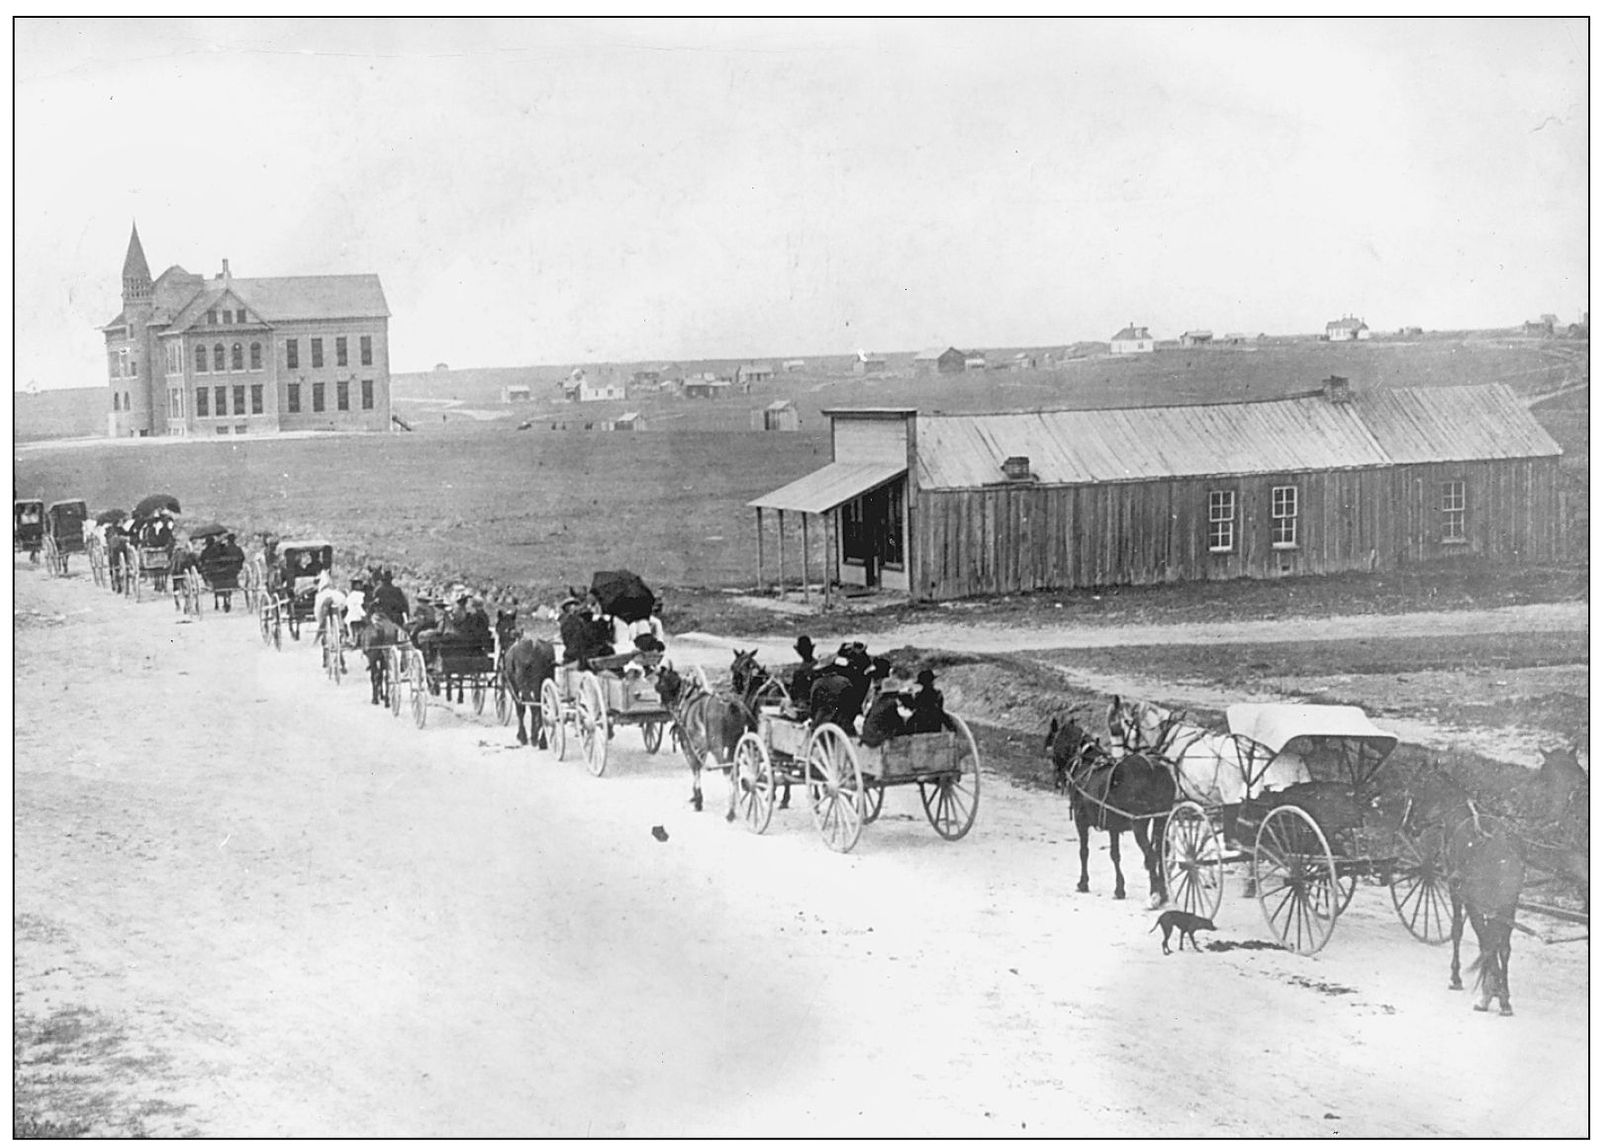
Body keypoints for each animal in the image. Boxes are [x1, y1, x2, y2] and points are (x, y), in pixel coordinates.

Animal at [496, 609, 554, 754]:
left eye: (497, 626)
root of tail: (535, 646)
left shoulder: (514, 686)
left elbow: (520, 708)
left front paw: (521, 736)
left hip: (526, 684)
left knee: (534, 706)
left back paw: (534, 737)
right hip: (545, 682)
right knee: (544, 707)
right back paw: (542, 740)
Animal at [651, 664, 751, 816]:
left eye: (661, 682)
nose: (655, 688)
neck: (687, 698)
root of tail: (730, 705)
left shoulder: (689, 744)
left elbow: (695, 768)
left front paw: (698, 799)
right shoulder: (700, 746)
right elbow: (698, 766)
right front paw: (695, 796)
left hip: (717, 748)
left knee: (727, 770)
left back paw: (731, 811)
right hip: (734, 746)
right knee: (735, 770)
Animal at [1044, 716, 1173, 903]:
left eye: (1051, 739)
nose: (1057, 780)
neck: (1085, 762)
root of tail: (1154, 769)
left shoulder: (1080, 820)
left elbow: (1084, 851)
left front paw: (1083, 883)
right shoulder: (1113, 827)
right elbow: (1115, 855)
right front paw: (1119, 889)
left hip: (1139, 825)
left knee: (1151, 856)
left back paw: (1154, 894)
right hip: (1161, 820)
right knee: (1160, 855)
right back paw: (1162, 893)